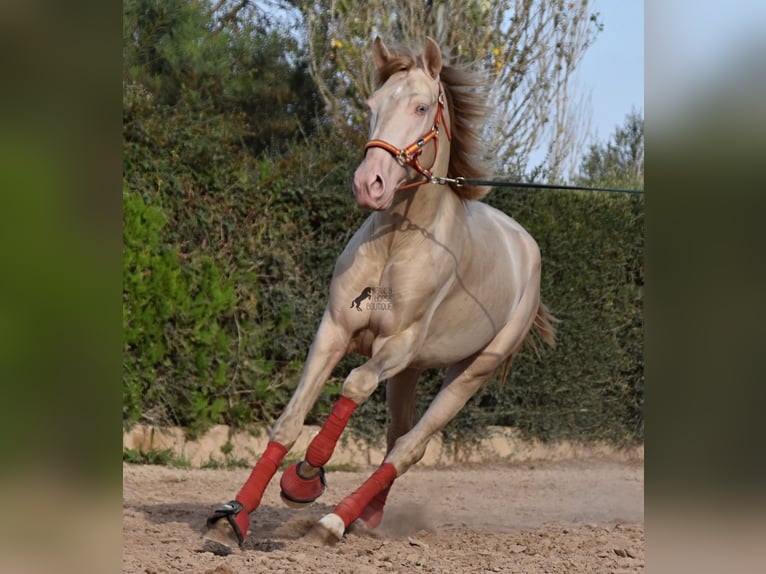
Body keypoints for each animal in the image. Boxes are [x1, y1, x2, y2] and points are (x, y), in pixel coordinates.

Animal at [204, 35, 560, 548]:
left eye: (421, 106)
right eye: (371, 105)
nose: (369, 184)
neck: (398, 243)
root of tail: (526, 248)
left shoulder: (397, 344)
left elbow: (353, 384)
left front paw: (305, 478)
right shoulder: (334, 330)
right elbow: (289, 419)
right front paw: (236, 515)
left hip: (471, 372)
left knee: (409, 448)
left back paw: (334, 522)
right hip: (410, 373)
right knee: (397, 437)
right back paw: (365, 517)